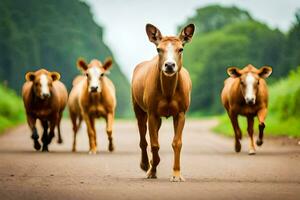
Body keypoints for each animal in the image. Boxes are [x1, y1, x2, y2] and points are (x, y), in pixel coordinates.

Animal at [131, 23, 195, 181]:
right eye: (159, 49)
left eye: (181, 49)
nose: (170, 65)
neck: (168, 92)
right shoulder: (152, 111)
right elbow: (154, 144)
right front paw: (152, 169)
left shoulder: (181, 112)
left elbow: (177, 143)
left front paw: (177, 174)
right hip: (138, 106)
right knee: (143, 137)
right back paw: (145, 165)